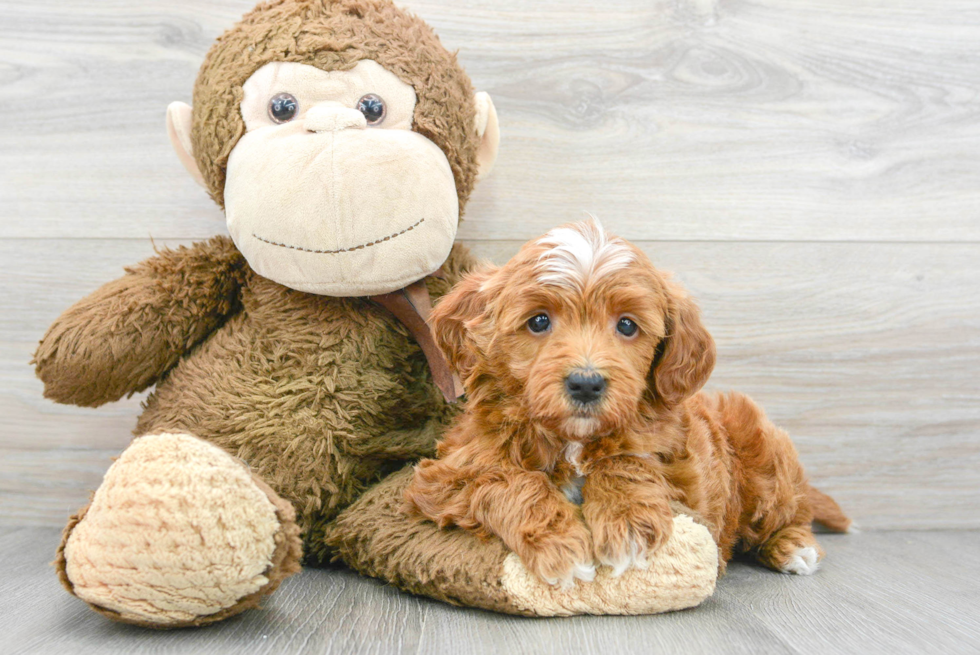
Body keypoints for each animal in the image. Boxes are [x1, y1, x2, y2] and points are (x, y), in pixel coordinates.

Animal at [406, 218, 848, 588]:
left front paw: (627, 523)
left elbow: (629, 460)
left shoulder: (689, 487)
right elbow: (505, 479)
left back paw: (793, 547)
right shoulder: (445, 474)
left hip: (764, 455)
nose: (586, 384)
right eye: (539, 321)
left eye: (627, 325)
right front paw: (561, 545)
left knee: (792, 513)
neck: (573, 440)